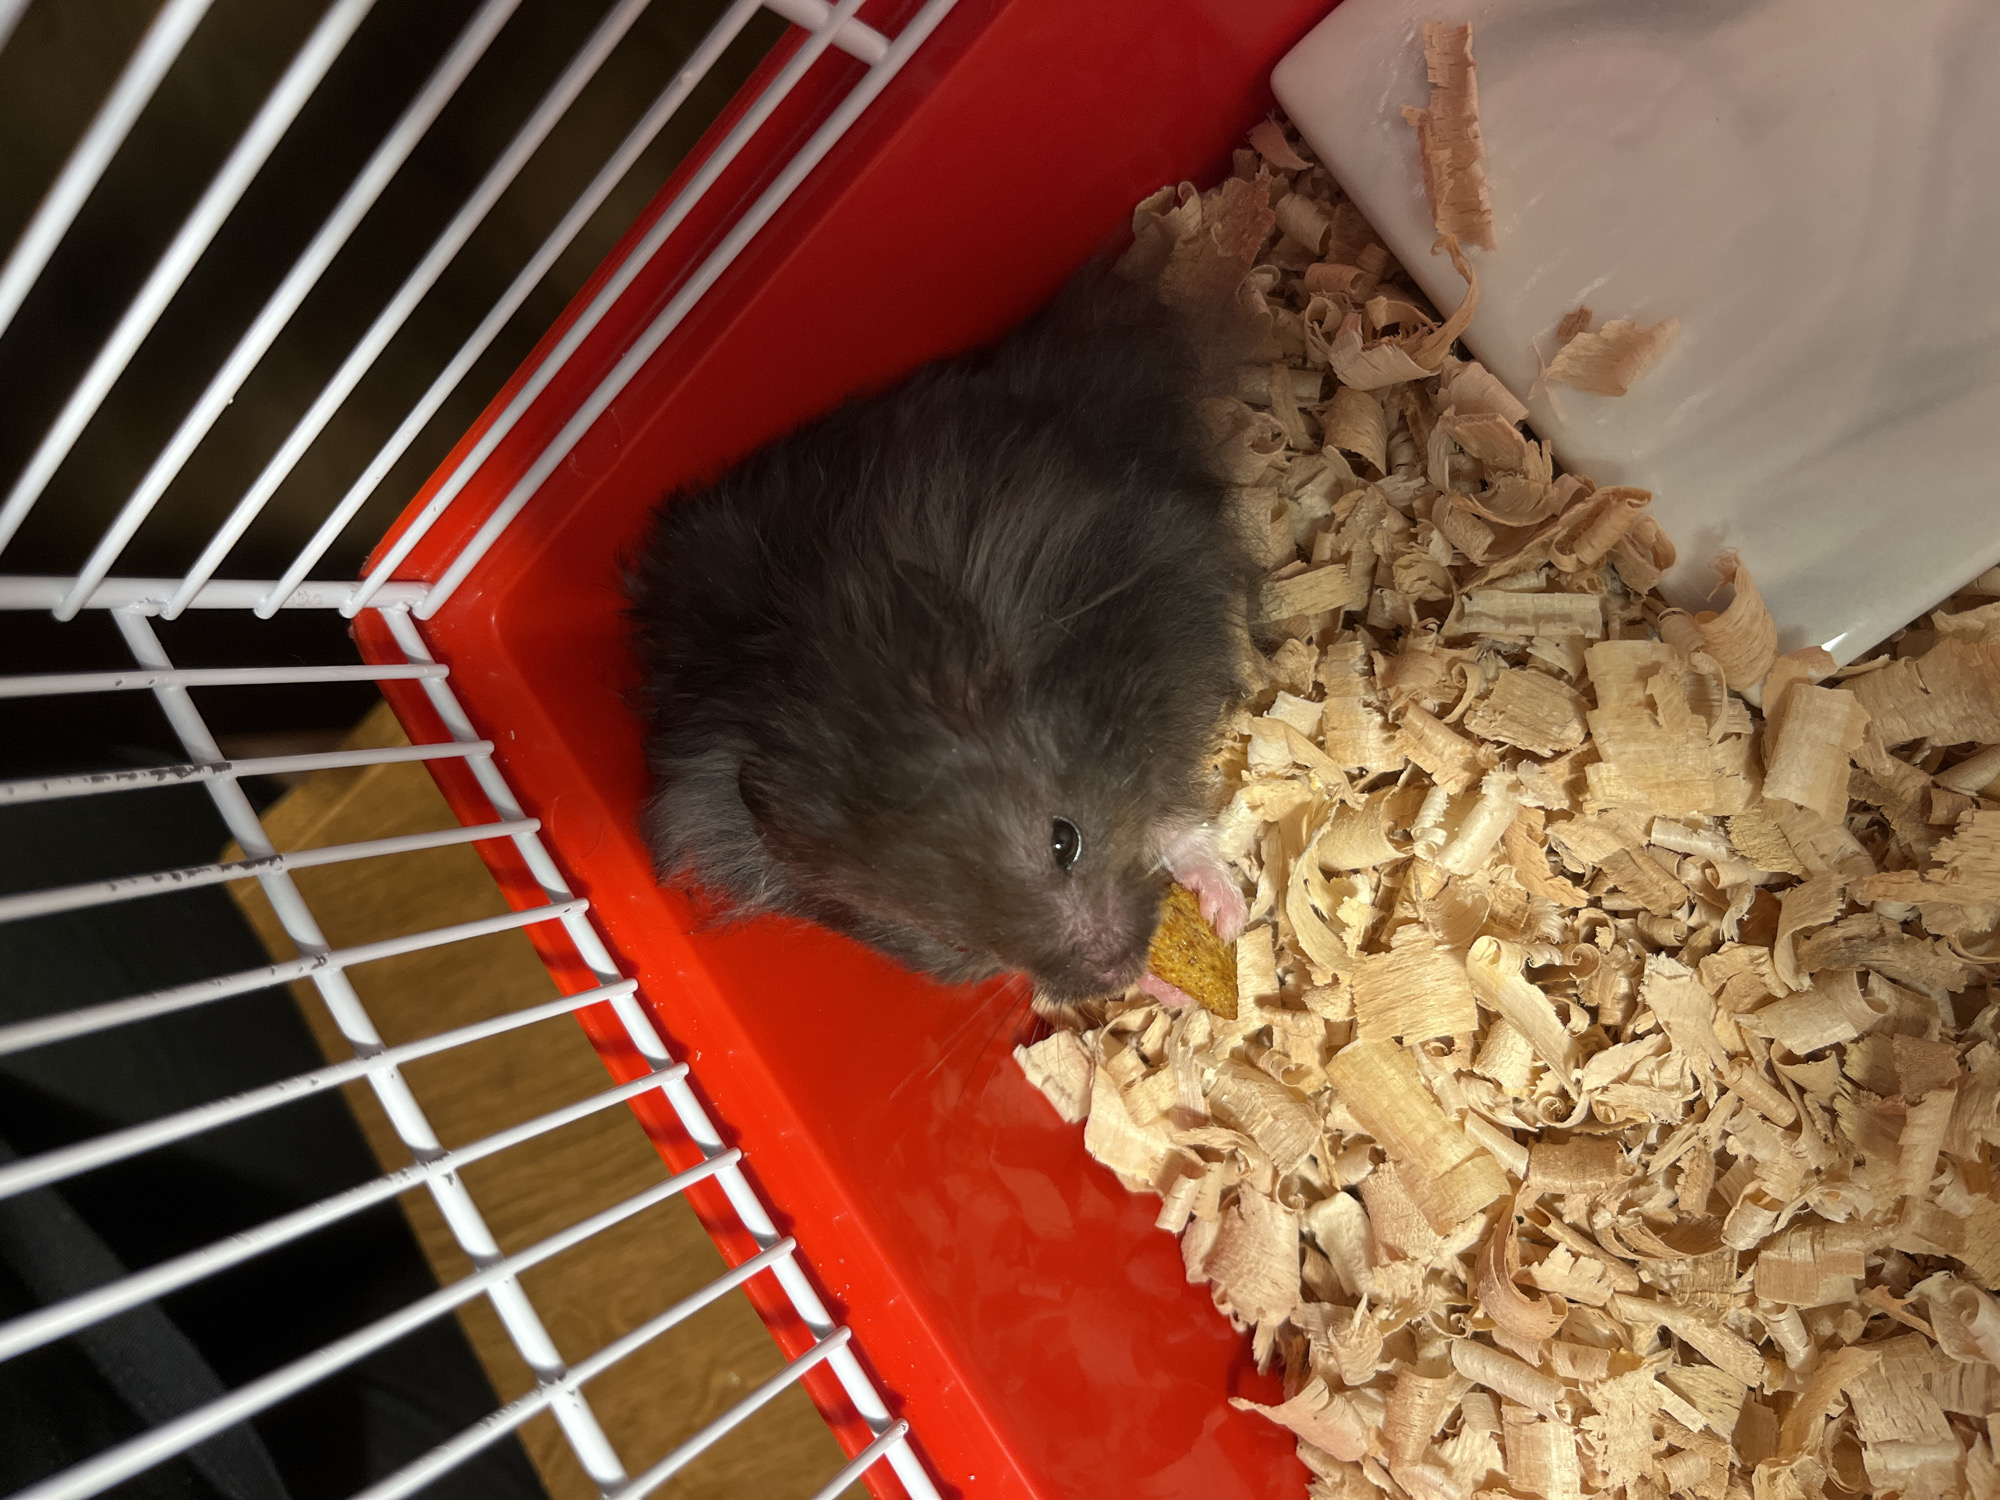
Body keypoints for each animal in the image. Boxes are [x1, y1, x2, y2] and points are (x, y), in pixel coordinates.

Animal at [626, 267, 1252, 1005]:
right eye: (961, 939)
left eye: (1064, 841)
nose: (1114, 973)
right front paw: (1168, 987)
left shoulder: (1168, 659)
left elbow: (1171, 813)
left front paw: (1227, 915)